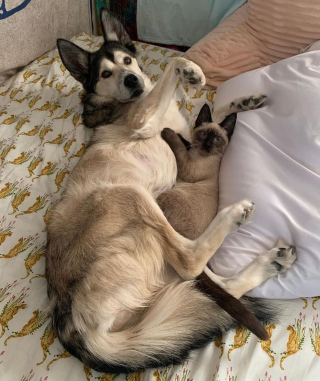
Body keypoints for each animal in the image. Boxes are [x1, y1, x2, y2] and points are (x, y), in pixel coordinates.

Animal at [46, 9, 296, 374]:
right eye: (105, 73)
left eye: (126, 61)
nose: (131, 81)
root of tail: (74, 325)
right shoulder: (146, 122)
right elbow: (173, 69)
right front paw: (190, 71)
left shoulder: (188, 130)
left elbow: (213, 115)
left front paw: (243, 101)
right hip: (129, 195)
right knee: (189, 260)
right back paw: (234, 215)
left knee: (216, 284)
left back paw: (270, 263)